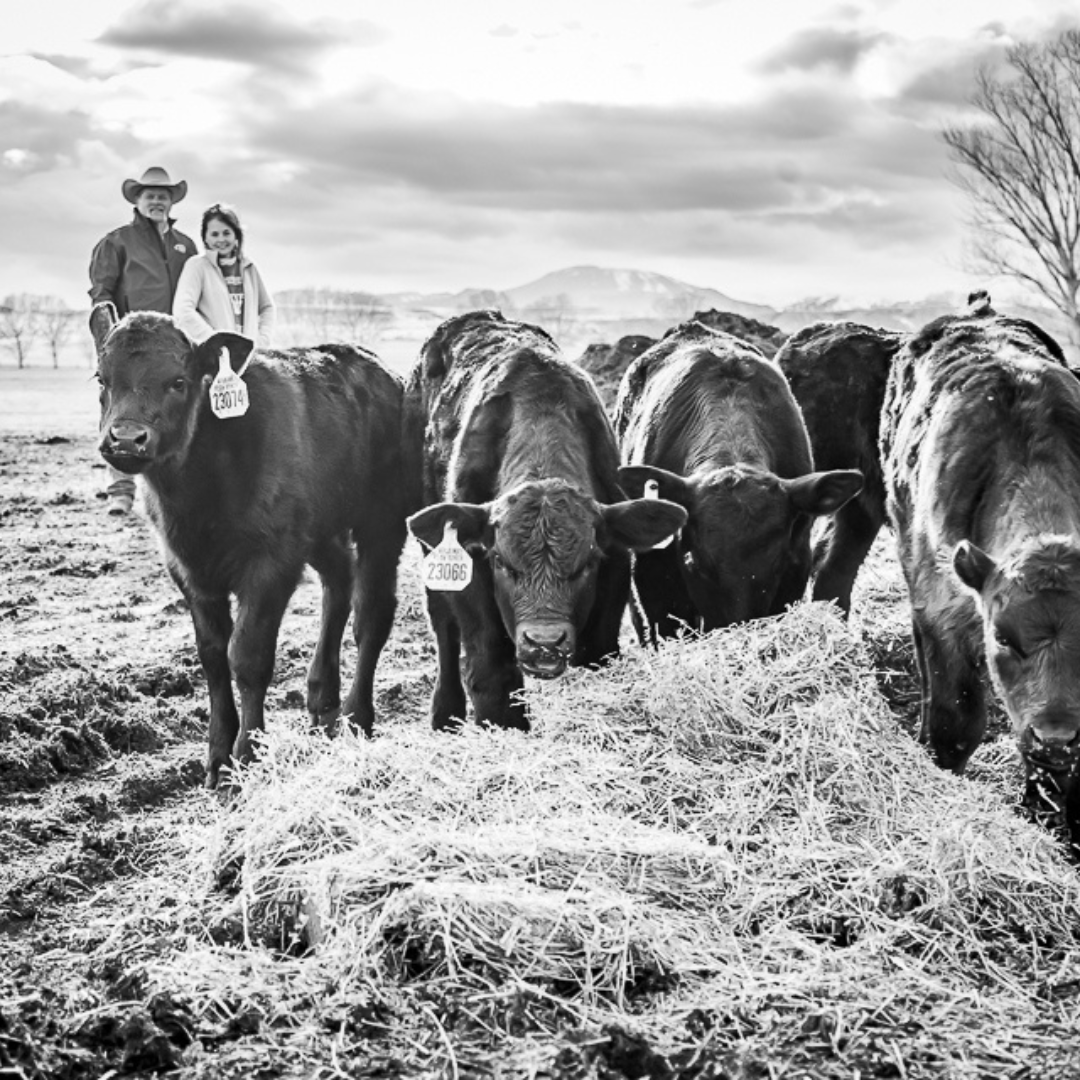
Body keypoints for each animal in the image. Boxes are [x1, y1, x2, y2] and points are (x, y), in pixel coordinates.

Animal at [89, 304, 406, 786]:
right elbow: (213, 657)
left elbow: (247, 656)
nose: (125, 437)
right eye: (101, 378)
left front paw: (249, 754)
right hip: (321, 529)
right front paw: (218, 756)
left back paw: (357, 717)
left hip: (383, 521)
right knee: (339, 584)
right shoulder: (188, 569)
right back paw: (321, 701)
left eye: (178, 381)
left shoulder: (271, 562)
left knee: (371, 614)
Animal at [401, 313, 686, 734]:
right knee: (443, 625)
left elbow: (597, 652)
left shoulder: (615, 569)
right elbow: (490, 667)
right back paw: (444, 713)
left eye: (587, 563)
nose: (545, 642)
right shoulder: (472, 580)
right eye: (500, 562)